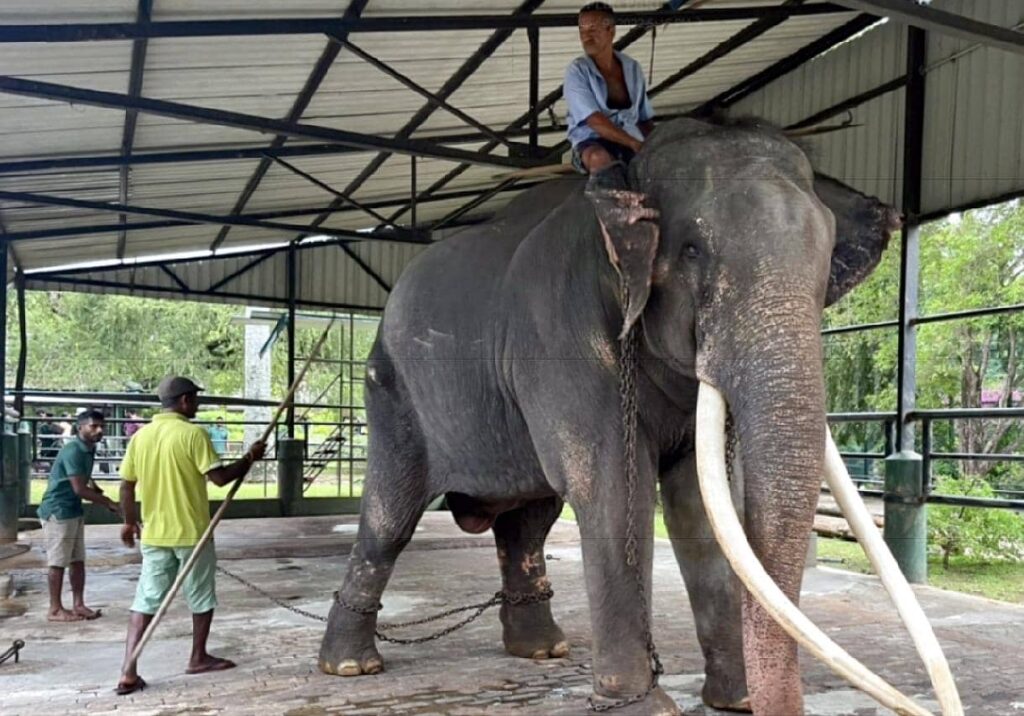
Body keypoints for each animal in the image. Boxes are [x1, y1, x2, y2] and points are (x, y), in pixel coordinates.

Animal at [317, 118, 960, 715]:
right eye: (693, 250)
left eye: (826, 261)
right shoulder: (562, 334)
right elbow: (611, 492)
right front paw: (644, 706)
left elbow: (701, 504)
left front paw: (736, 701)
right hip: (390, 391)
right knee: (390, 517)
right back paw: (351, 667)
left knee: (530, 521)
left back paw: (542, 651)